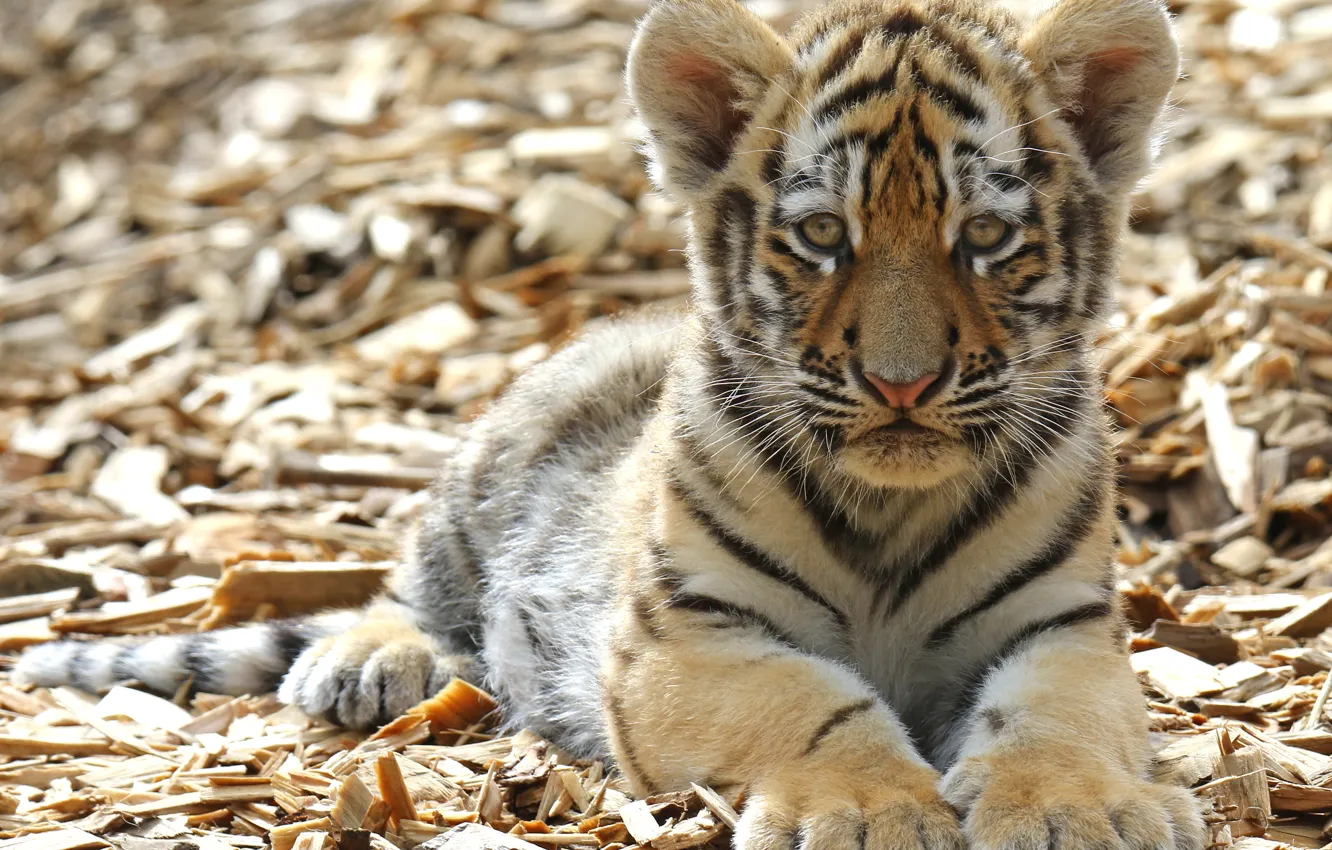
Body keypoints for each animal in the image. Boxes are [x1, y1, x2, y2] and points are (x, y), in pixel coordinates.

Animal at [16, 0, 1205, 847]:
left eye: (987, 237)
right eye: (823, 234)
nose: (902, 384)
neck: (891, 504)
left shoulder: (1059, 625)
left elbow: (1053, 716)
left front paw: (1077, 809)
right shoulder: (686, 632)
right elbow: (813, 702)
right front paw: (868, 811)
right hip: (485, 471)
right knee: (413, 591)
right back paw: (367, 661)